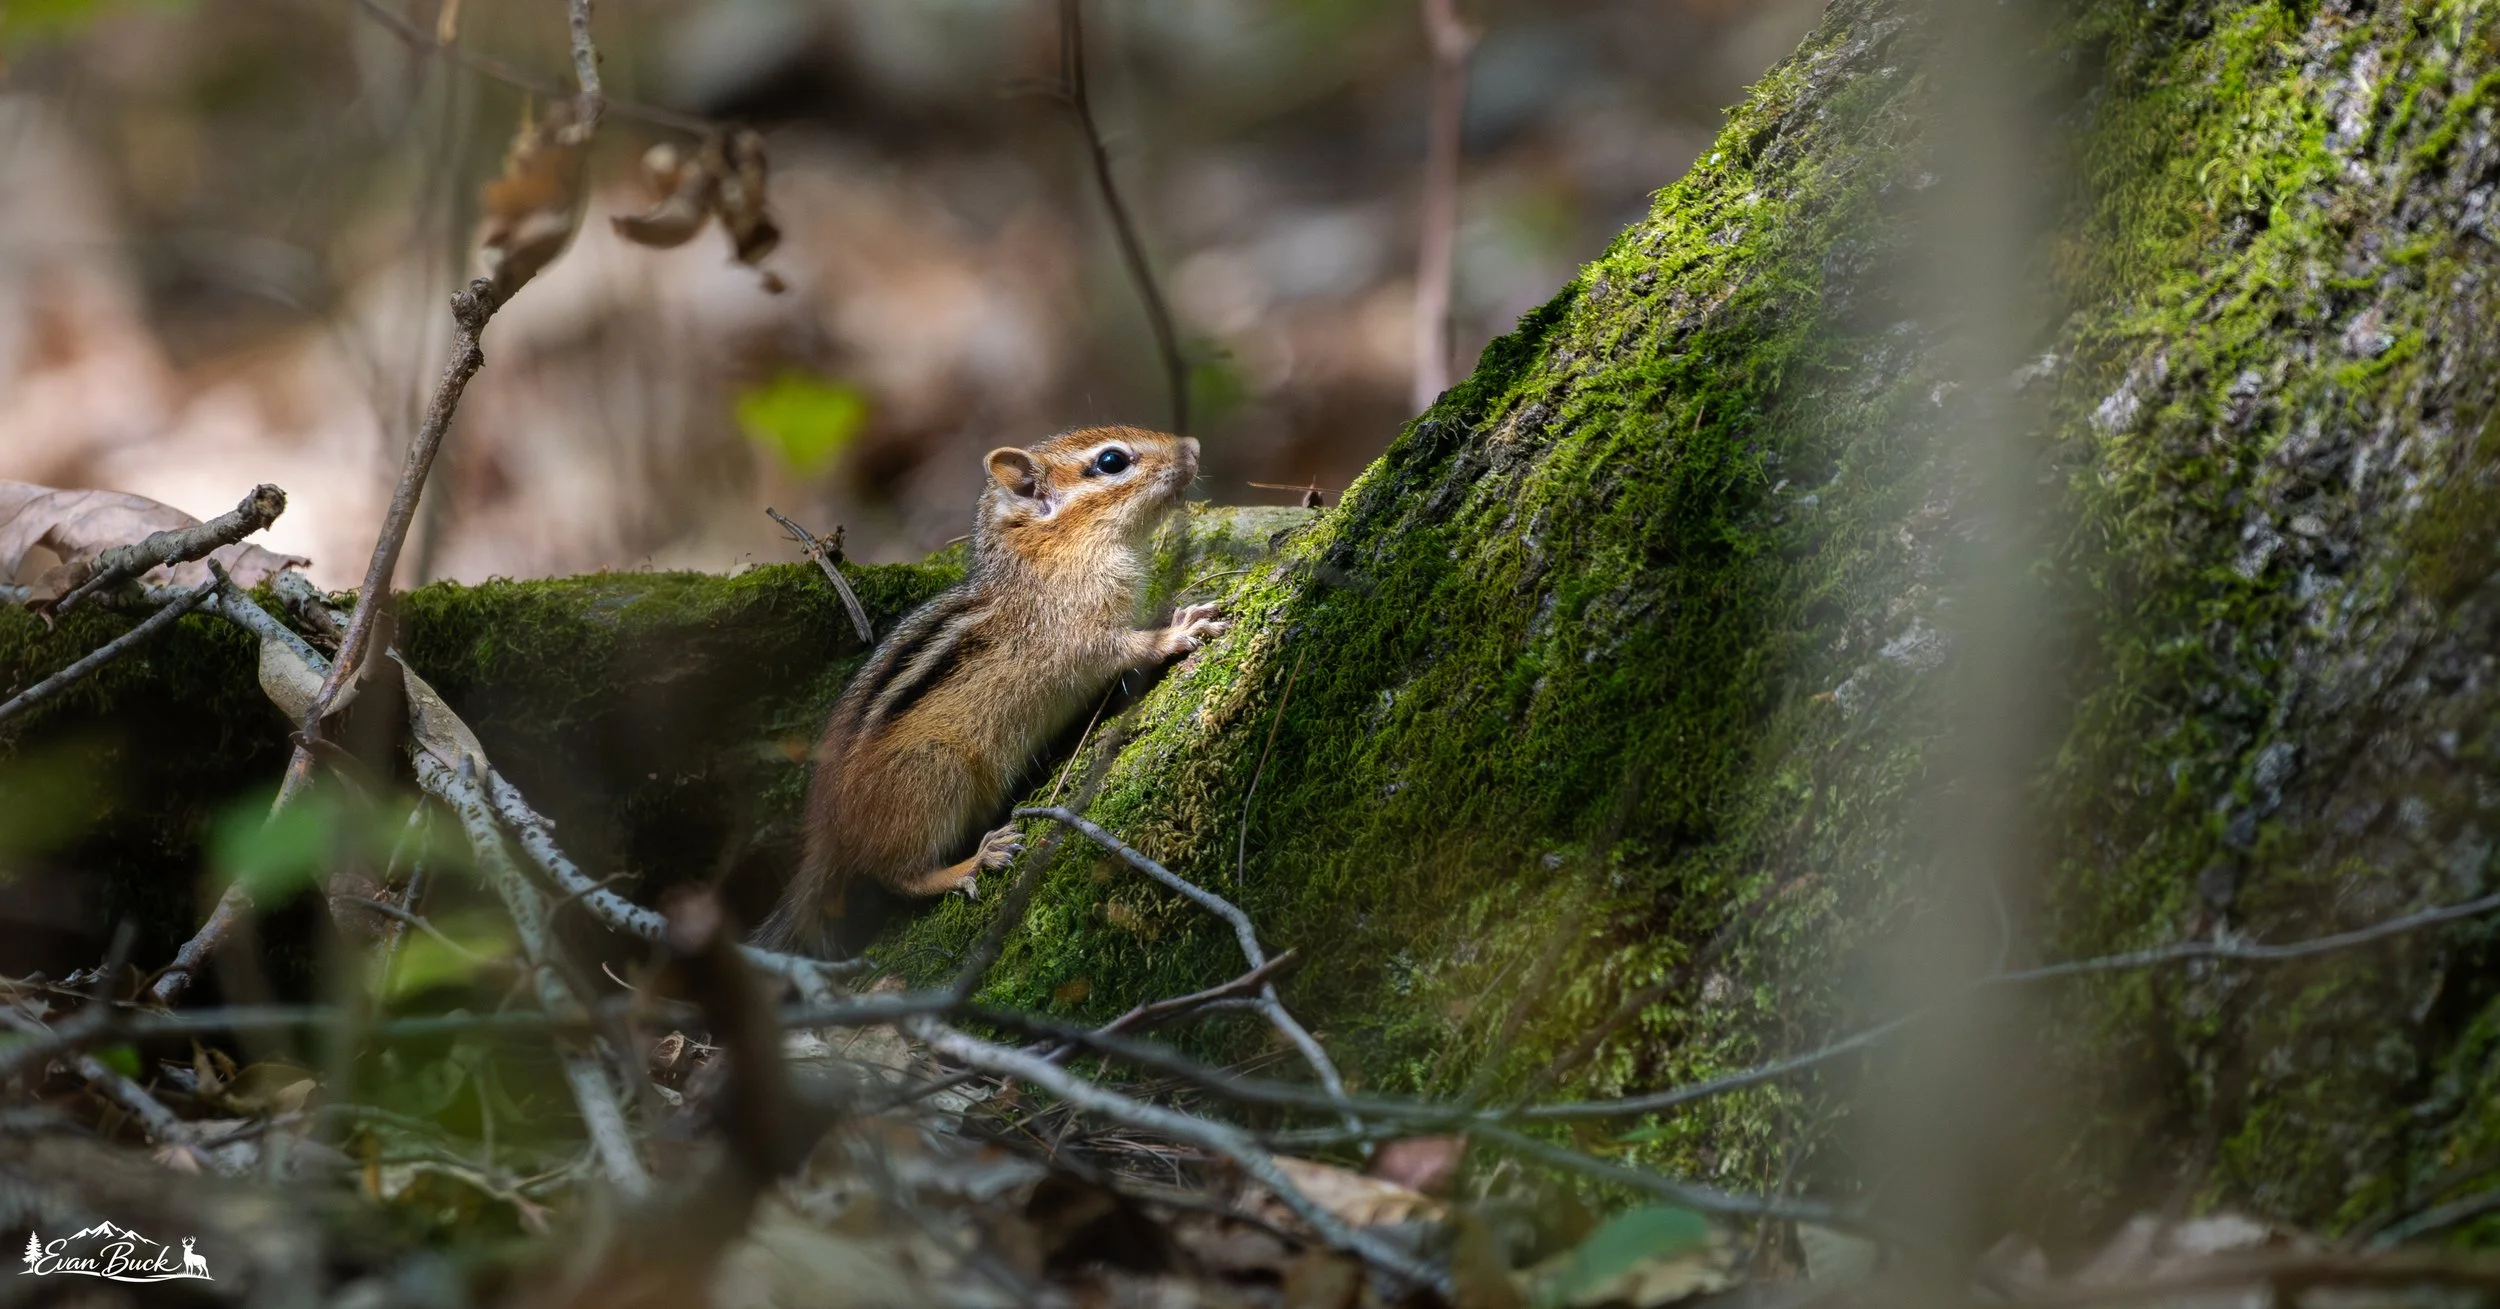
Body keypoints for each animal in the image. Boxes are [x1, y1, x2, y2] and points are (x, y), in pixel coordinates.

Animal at [755, 426, 1225, 955]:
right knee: (897, 877)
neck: (1052, 551)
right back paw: (974, 860)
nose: (1194, 446)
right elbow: (1125, 647)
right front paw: (1177, 631)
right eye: (1111, 462)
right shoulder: (1076, 633)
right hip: (935, 771)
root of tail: (826, 832)